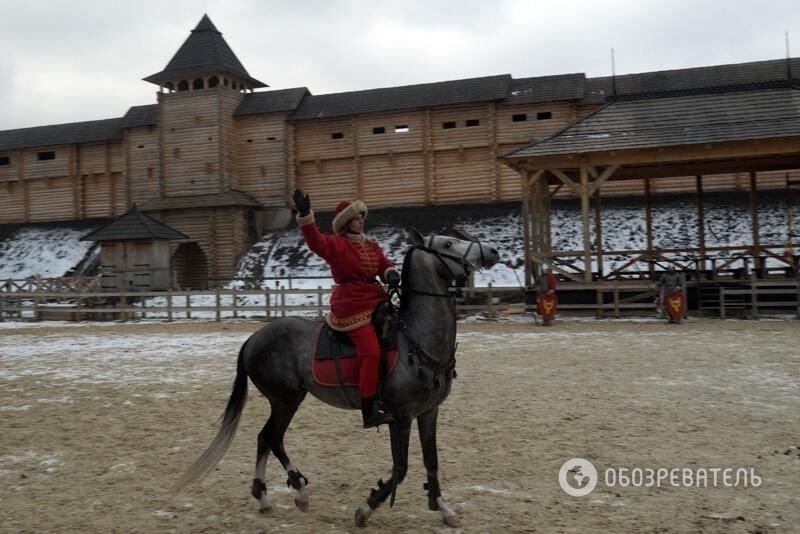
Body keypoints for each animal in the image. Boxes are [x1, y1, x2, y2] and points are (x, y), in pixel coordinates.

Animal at [174, 229, 500, 528]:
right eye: (448, 243)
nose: (492, 251)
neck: (416, 341)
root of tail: (254, 338)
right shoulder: (401, 416)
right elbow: (401, 468)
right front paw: (367, 508)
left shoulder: (429, 412)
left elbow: (431, 461)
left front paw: (443, 507)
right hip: (286, 400)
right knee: (272, 437)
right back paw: (298, 491)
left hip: (284, 401)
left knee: (264, 438)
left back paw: (264, 498)